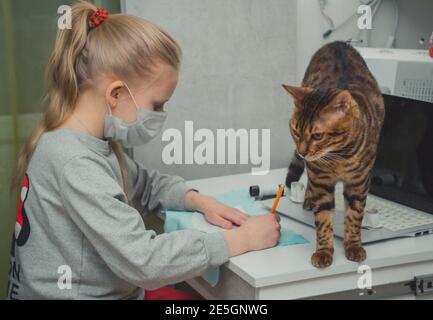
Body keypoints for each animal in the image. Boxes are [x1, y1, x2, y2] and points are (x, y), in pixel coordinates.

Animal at [284, 41, 384, 268]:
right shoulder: (321, 180)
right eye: (295, 131)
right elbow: (323, 219)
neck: (339, 157)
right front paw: (323, 251)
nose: (302, 152)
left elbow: (355, 216)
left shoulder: (359, 182)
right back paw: (308, 200)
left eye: (317, 135)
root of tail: (337, 43)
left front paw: (353, 245)